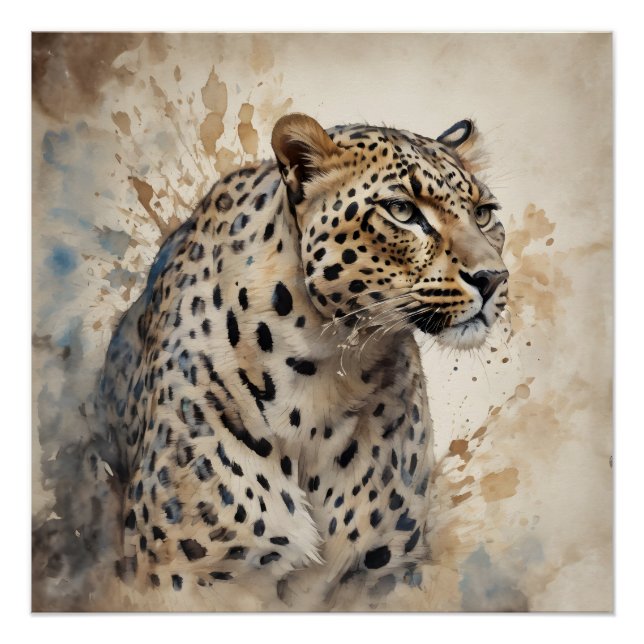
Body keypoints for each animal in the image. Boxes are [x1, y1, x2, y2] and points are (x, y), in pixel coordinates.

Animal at [98, 113, 508, 607]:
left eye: (484, 214)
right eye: (403, 211)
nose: (494, 278)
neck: (328, 371)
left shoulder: (383, 568)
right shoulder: (186, 572)